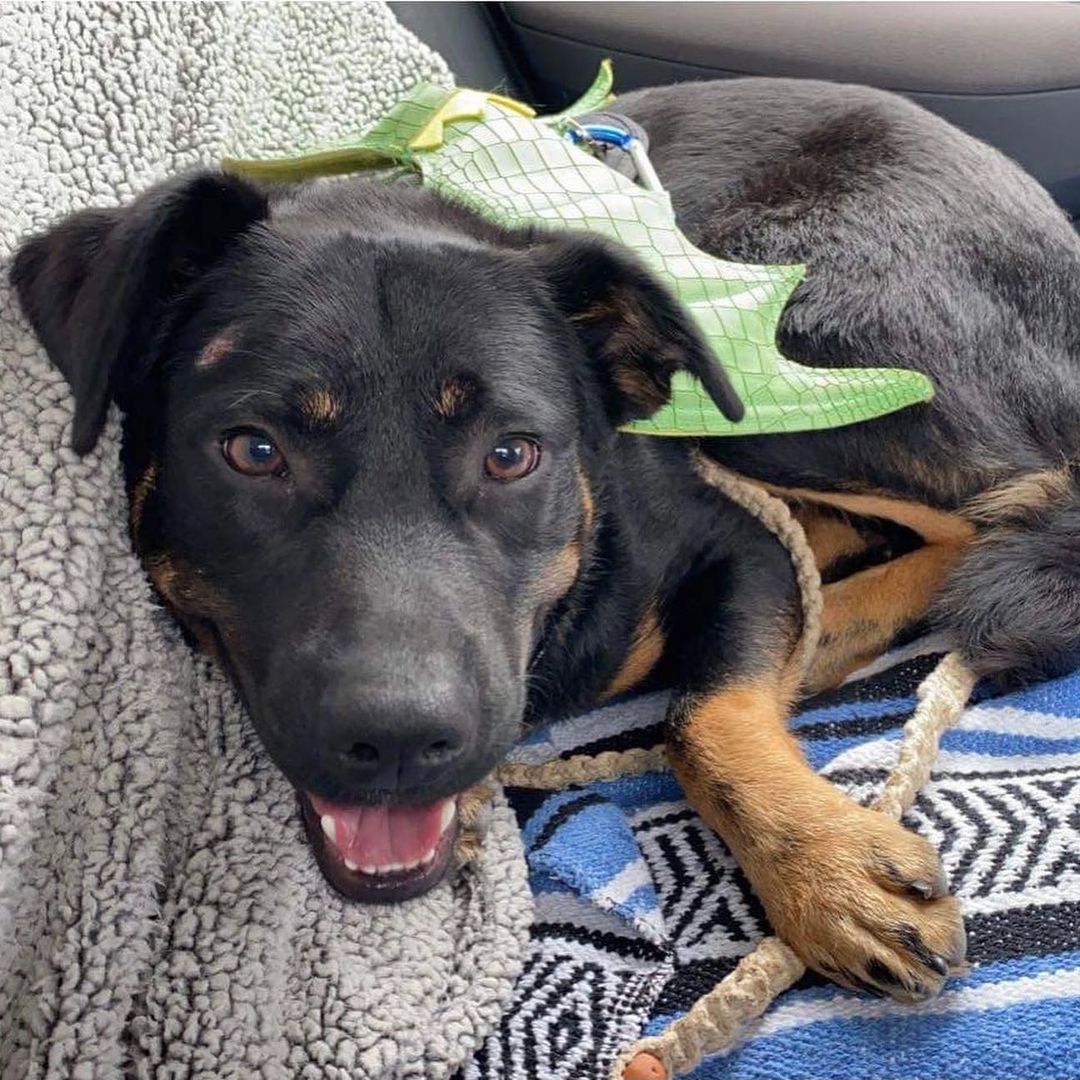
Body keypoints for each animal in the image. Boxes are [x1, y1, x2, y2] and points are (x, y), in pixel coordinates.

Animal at [14, 78, 1080, 1002]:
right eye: (252, 450)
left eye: (512, 454)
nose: (398, 742)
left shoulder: (734, 540)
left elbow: (702, 716)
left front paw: (827, 872)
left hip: (795, 360)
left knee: (1013, 502)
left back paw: (837, 626)